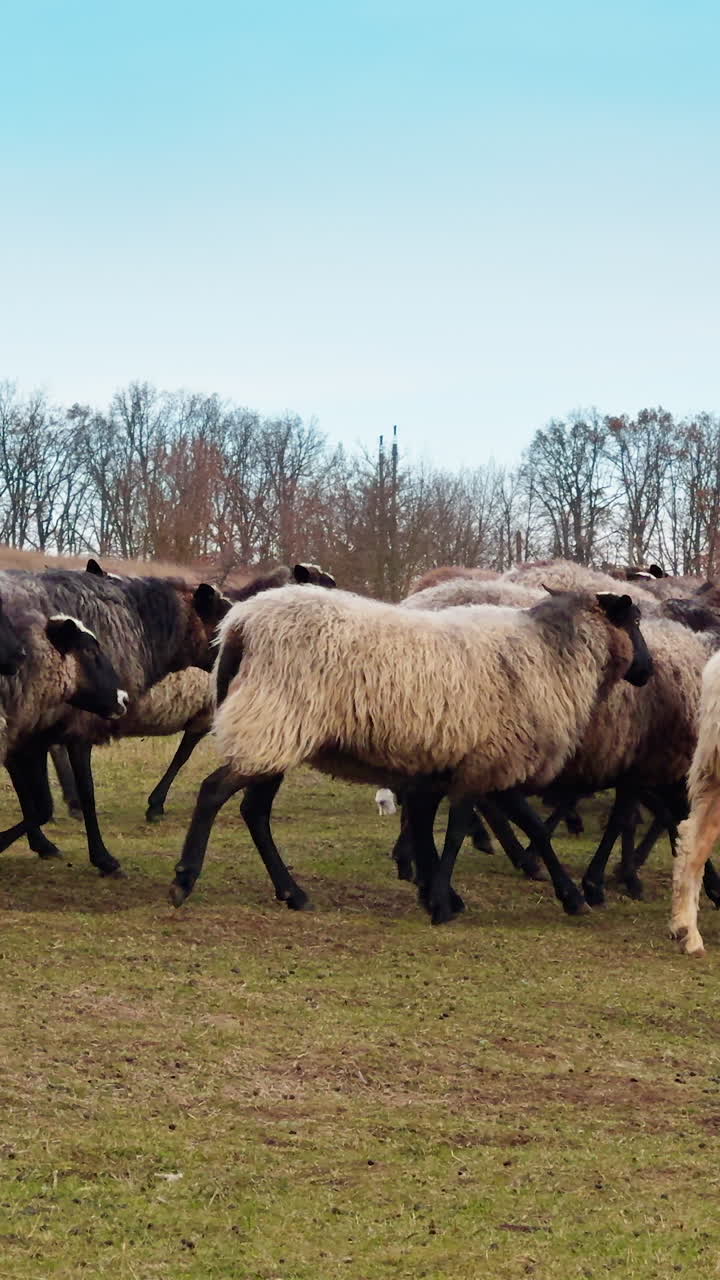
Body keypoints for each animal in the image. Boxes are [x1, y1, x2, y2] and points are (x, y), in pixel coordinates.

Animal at [168, 584, 652, 921]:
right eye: (635, 622)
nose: (647, 672)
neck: (554, 656)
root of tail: (240, 624)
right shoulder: (488, 761)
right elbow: (462, 831)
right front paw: (442, 902)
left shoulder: (480, 764)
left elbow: (520, 827)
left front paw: (566, 895)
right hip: (273, 720)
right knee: (214, 792)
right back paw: (185, 880)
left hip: (277, 729)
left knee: (254, 811)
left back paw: (293, 893)